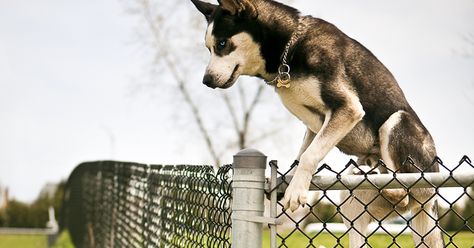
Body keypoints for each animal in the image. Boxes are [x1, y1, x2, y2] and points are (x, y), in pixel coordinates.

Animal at [191, 0, 442, 246]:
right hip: (351, 201)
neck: (290, 48)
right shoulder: (315, 124)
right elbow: (302, 153)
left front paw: (295, 190)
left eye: (222, 43)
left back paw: (371, 174)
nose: (206, 81)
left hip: (397, 123)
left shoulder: (347, 108)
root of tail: (430, 200)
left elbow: (310, 155)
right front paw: (287, 181)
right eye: (208, 48)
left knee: (401, 192)